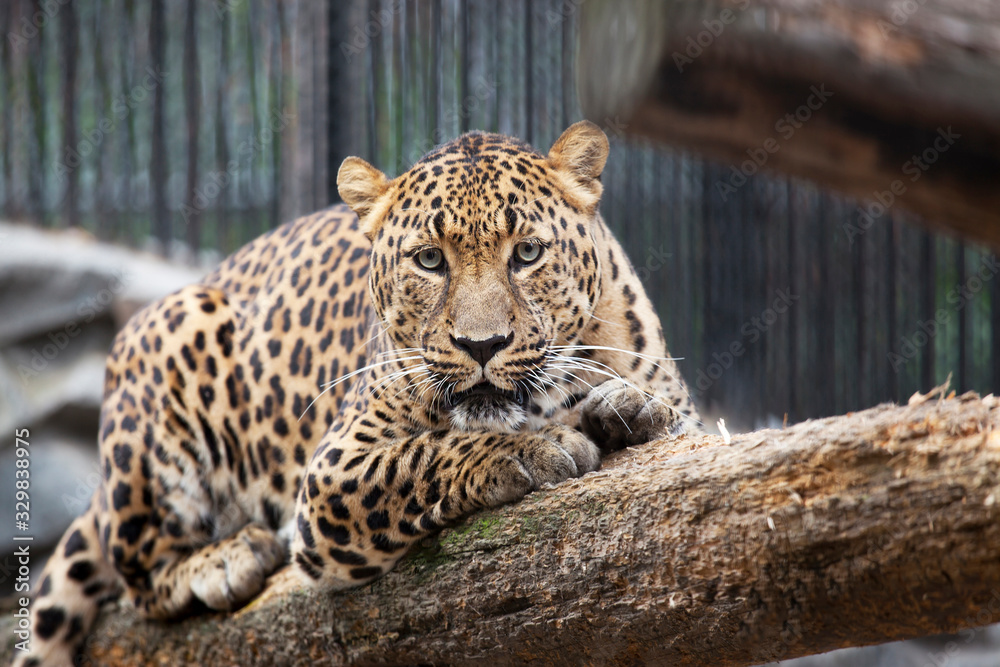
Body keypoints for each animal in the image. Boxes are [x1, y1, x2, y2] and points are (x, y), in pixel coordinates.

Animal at [19, 121, 701, 666]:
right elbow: (424, 456)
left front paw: (625, 408)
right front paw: (529, 451)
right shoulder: (331, 474)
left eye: (528, 252)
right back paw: (225, 559)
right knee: (138, 570)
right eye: (429, 260)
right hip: (166, 341)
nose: (482, 345)